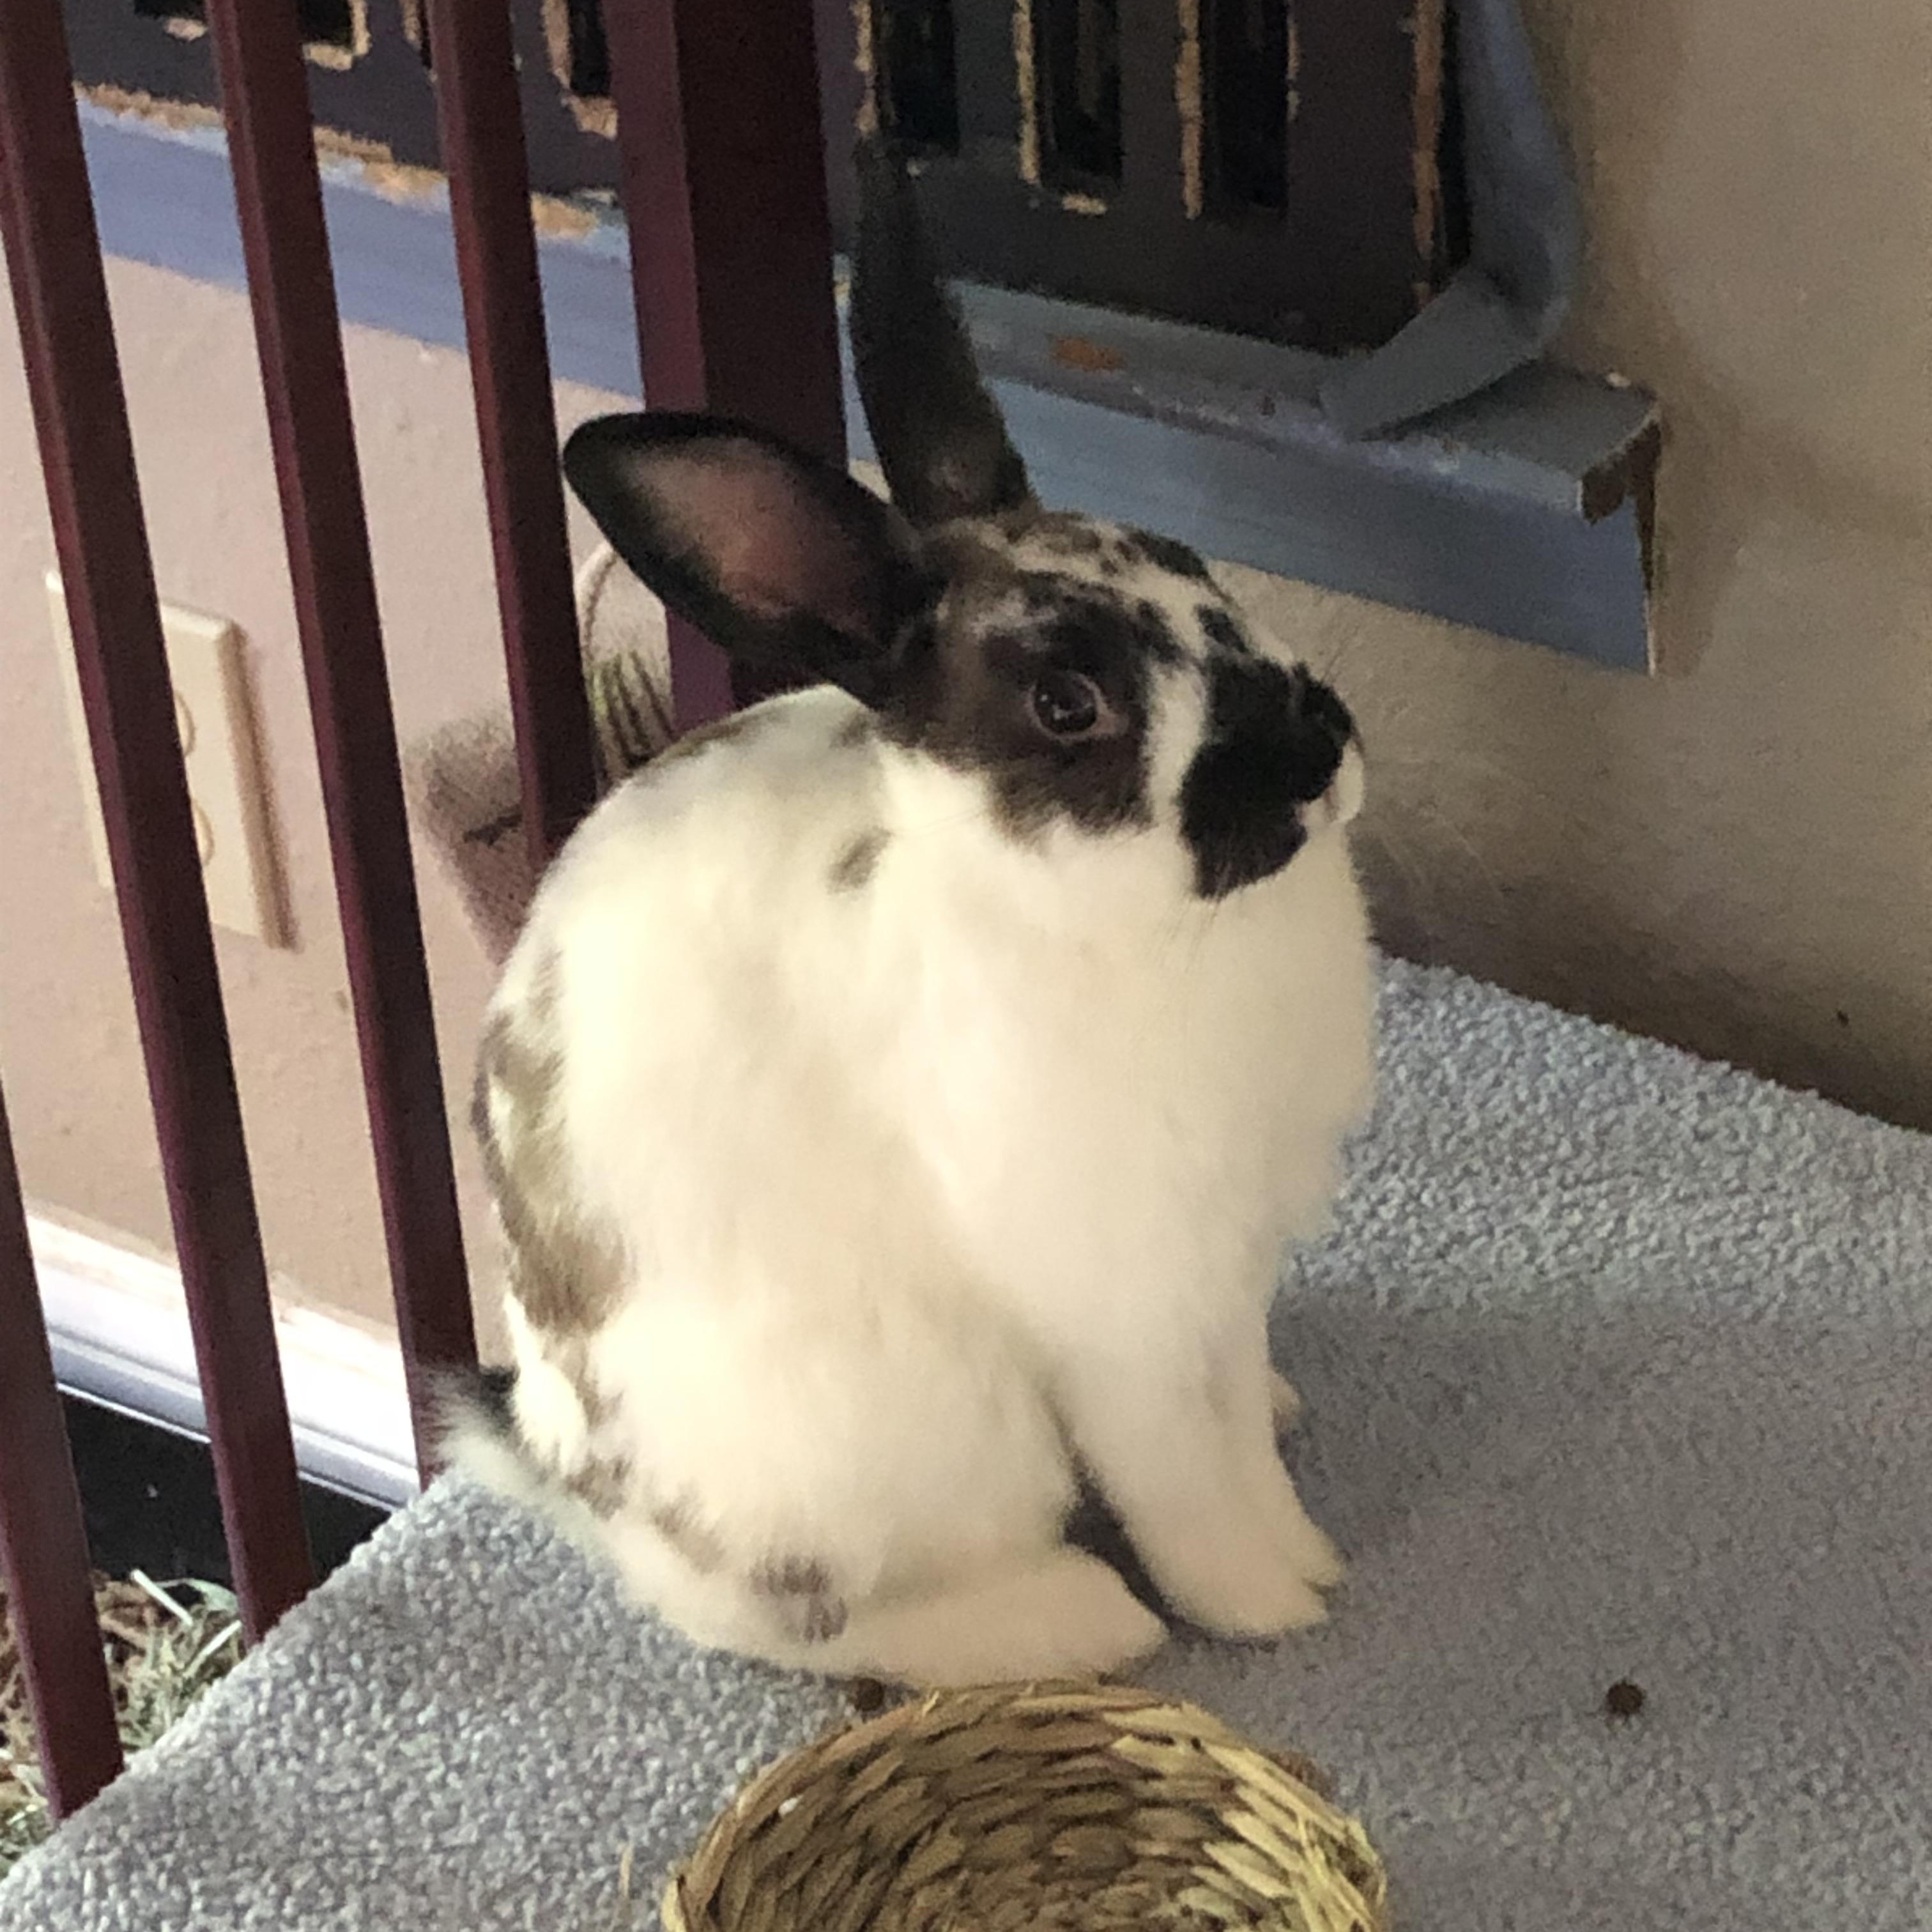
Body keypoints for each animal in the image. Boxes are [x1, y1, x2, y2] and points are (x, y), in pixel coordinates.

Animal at [446, 142, 1377, 1688]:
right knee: (811, 1621)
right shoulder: (1125, 1316)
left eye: (1193, 565)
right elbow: (1185, 1478)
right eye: (1066, 705)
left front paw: (1300, 1528)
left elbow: (1239, 1420)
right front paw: (1276, 1597)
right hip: (896, 1448)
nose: (1319, 753)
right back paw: (1083, 1616)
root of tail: (580, 1485)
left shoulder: (1225, 1279)